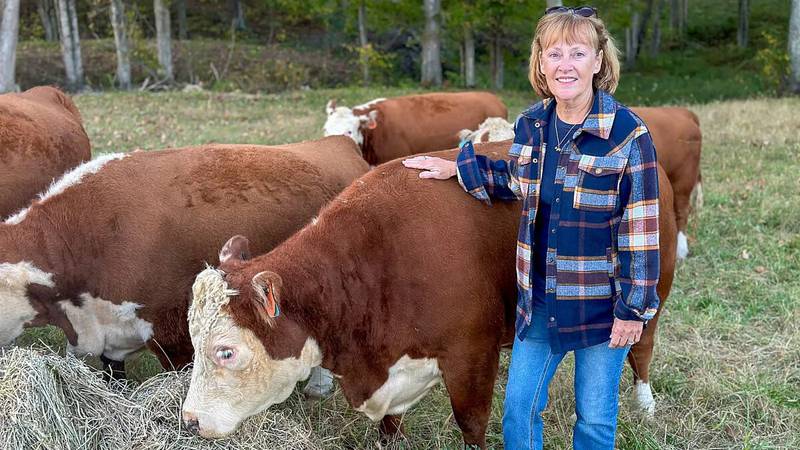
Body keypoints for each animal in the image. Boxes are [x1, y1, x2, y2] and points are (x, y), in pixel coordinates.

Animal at [181, 142, 676, 444]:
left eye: (226, 351)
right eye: (193, 342)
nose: (189, 421)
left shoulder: (471, 357)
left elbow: (472, 425)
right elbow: (389, 426)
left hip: (653, 292)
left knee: (641, 347)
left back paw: (645, 403)